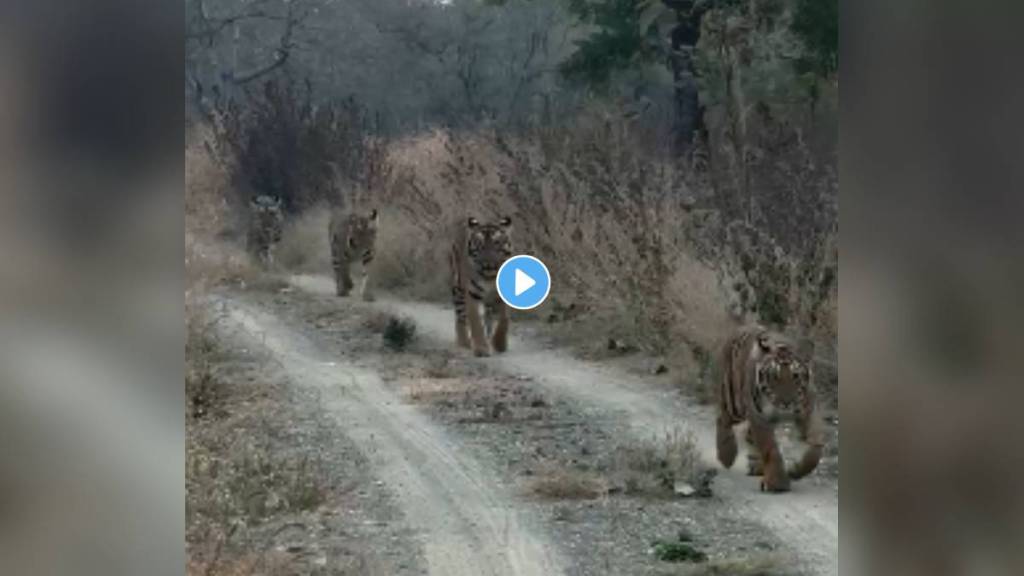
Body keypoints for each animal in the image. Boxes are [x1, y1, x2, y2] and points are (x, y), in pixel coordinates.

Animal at [448, 217, 512, 356]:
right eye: (480, 245)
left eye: (496, 243)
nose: (488, 263)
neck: (491, 276)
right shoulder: (471, 294)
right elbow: (475, 321)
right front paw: (481, 348)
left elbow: (504, 318)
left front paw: (500, 344)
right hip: (458, 288)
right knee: (460, 318)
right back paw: (464, 343)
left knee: (488, 318)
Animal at [720, 325, 823, 491]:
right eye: (775, 377)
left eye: (795, 376)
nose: (786, 401)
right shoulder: (759, 416)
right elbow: (770, 448)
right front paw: (777, 483)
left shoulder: (809, 411)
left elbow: (815, 450)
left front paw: (795, 470)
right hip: (734, 402)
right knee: (723, 418)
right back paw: (726, 455)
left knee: (749, 437)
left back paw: (756, 466)